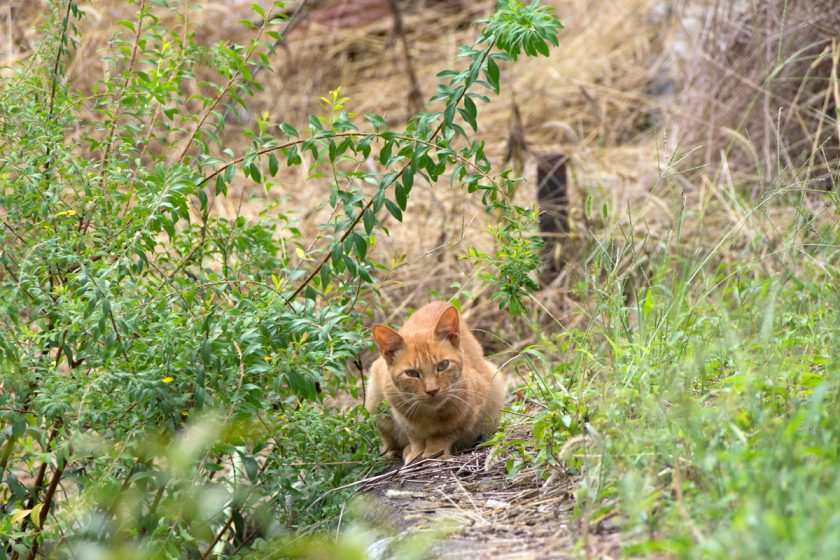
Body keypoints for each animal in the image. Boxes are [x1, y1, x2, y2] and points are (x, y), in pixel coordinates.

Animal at [366, 302, 506, 464]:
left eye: (443, 365)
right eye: (412, 373)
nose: (432, 390)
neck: (429, 413)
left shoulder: (472, 410)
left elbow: (443, 434)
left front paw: (434, 453)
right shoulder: (400, 413)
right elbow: (414, 436)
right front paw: (416, 452)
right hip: (374, 398)